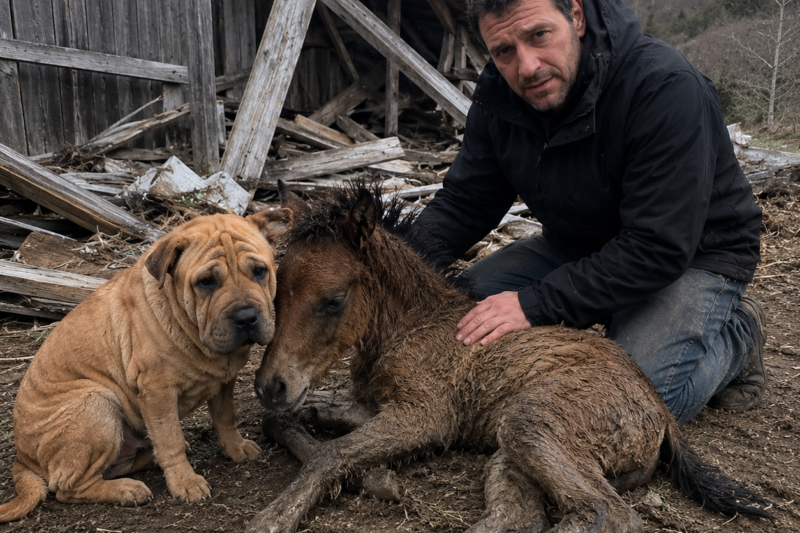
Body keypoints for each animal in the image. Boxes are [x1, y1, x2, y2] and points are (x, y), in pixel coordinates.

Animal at [249, 181, 771, 533]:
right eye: (275, 289)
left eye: (333, 299)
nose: (271, 384)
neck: (412, 325)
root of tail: (662, 414)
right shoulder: (376, 406)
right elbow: (292, 420)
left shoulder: (427, 416)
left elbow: (331, 454)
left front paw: (274, 516)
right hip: (516, 448)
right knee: (521, 517)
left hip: (529, 420)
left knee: (610, 515)